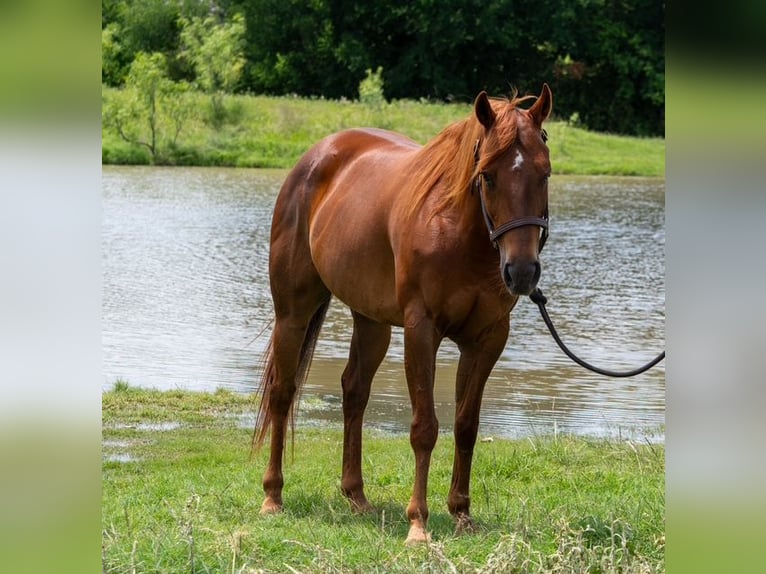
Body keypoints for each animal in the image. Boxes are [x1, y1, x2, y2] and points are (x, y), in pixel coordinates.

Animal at [253, 84, 553, 543]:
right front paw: (418, 523)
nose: (521, 271)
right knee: (283, 394)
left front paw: (461, 513)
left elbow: (466, 425)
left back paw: (356, 496)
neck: (459, 232)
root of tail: (317, 155)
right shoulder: (421, 331)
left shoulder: (487, 339)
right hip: (293, 312)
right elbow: (424, 428)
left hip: (371, 322)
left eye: (545, 174)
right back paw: (273, 497)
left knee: (354, 391)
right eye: (487, 175)